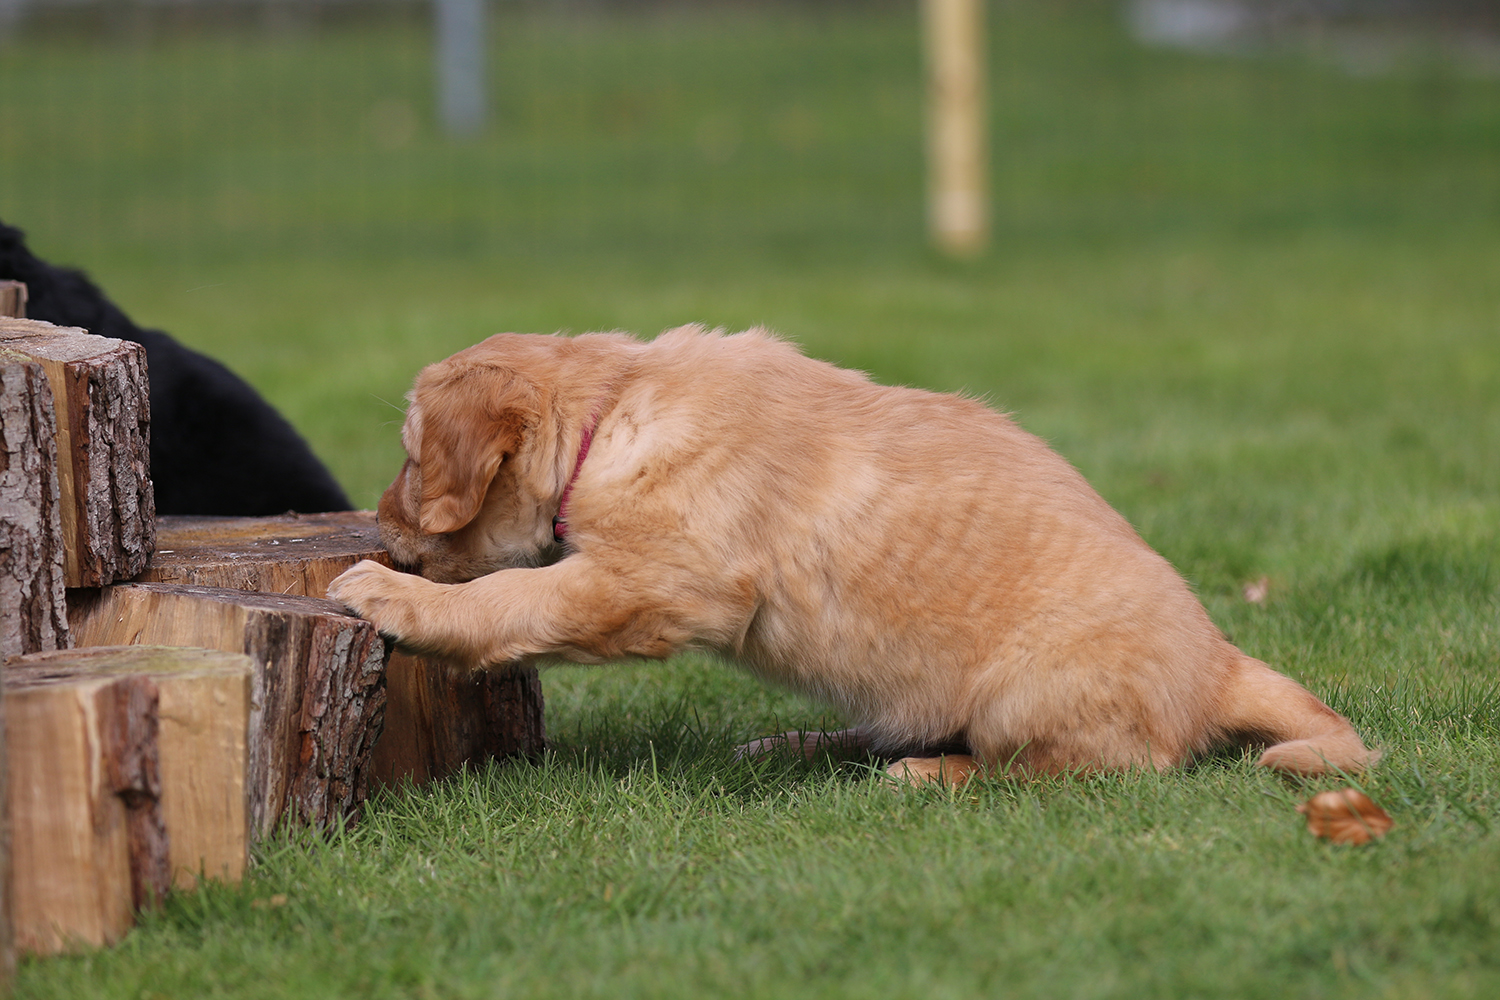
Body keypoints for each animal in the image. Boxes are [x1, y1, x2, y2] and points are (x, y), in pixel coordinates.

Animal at [328, 325, 1377, 785]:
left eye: (412, 455)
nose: (374, 527)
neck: (616, 405)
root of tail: (1220, 664)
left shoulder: (657, 582)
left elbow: (517, 598)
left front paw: (390, 597)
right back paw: (800, 743)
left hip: (1027, 696)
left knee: (1068, 773)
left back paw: (929, 779)